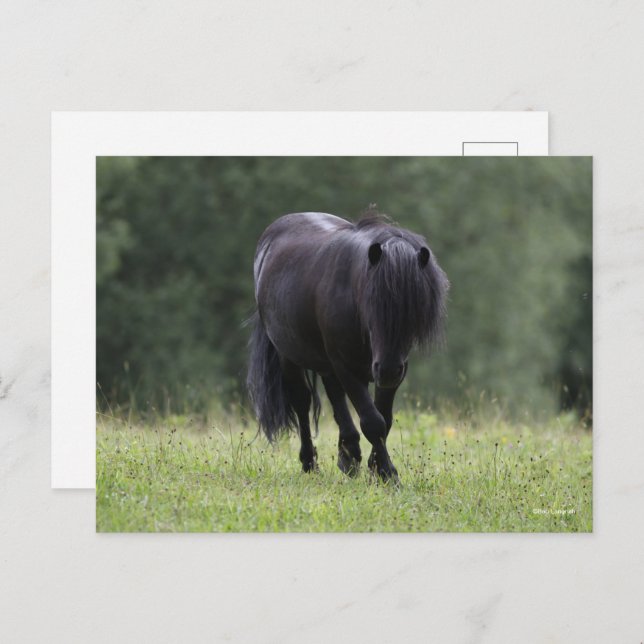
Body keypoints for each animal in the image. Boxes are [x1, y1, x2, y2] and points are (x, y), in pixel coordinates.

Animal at [246, 211, 449, 481]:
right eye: (371, 305)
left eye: (415, 309)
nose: (387, 370)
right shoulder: (346, 366)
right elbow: (373, 422)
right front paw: (388, 473)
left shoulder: (394, 371)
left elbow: (385, 418)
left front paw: (376, 467)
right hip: (289, 356)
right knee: (301, 401)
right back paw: (310, 463)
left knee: (335, 397)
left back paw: (348, 456)